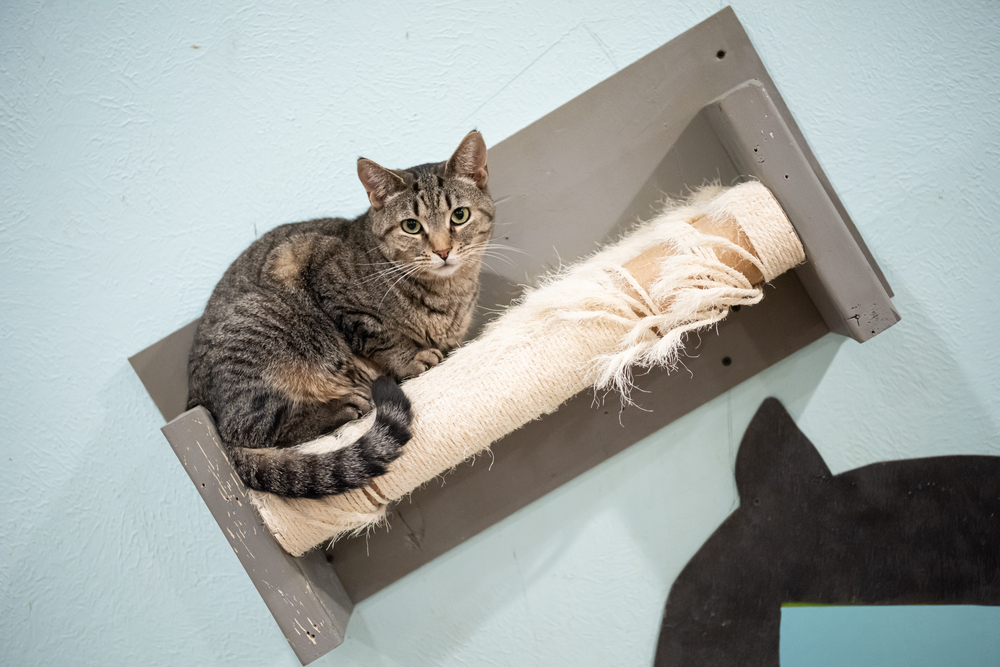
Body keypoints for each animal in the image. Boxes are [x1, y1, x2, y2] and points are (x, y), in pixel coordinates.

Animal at [186, 134, 494, 500]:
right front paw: (411, 359)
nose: (443, 251)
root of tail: (196, 406)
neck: (447, 293)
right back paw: (342, 406)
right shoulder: (332, 292)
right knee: (252, 428)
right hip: (266, 331)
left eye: (459, 216)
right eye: (411, 226)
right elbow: (383, 338)